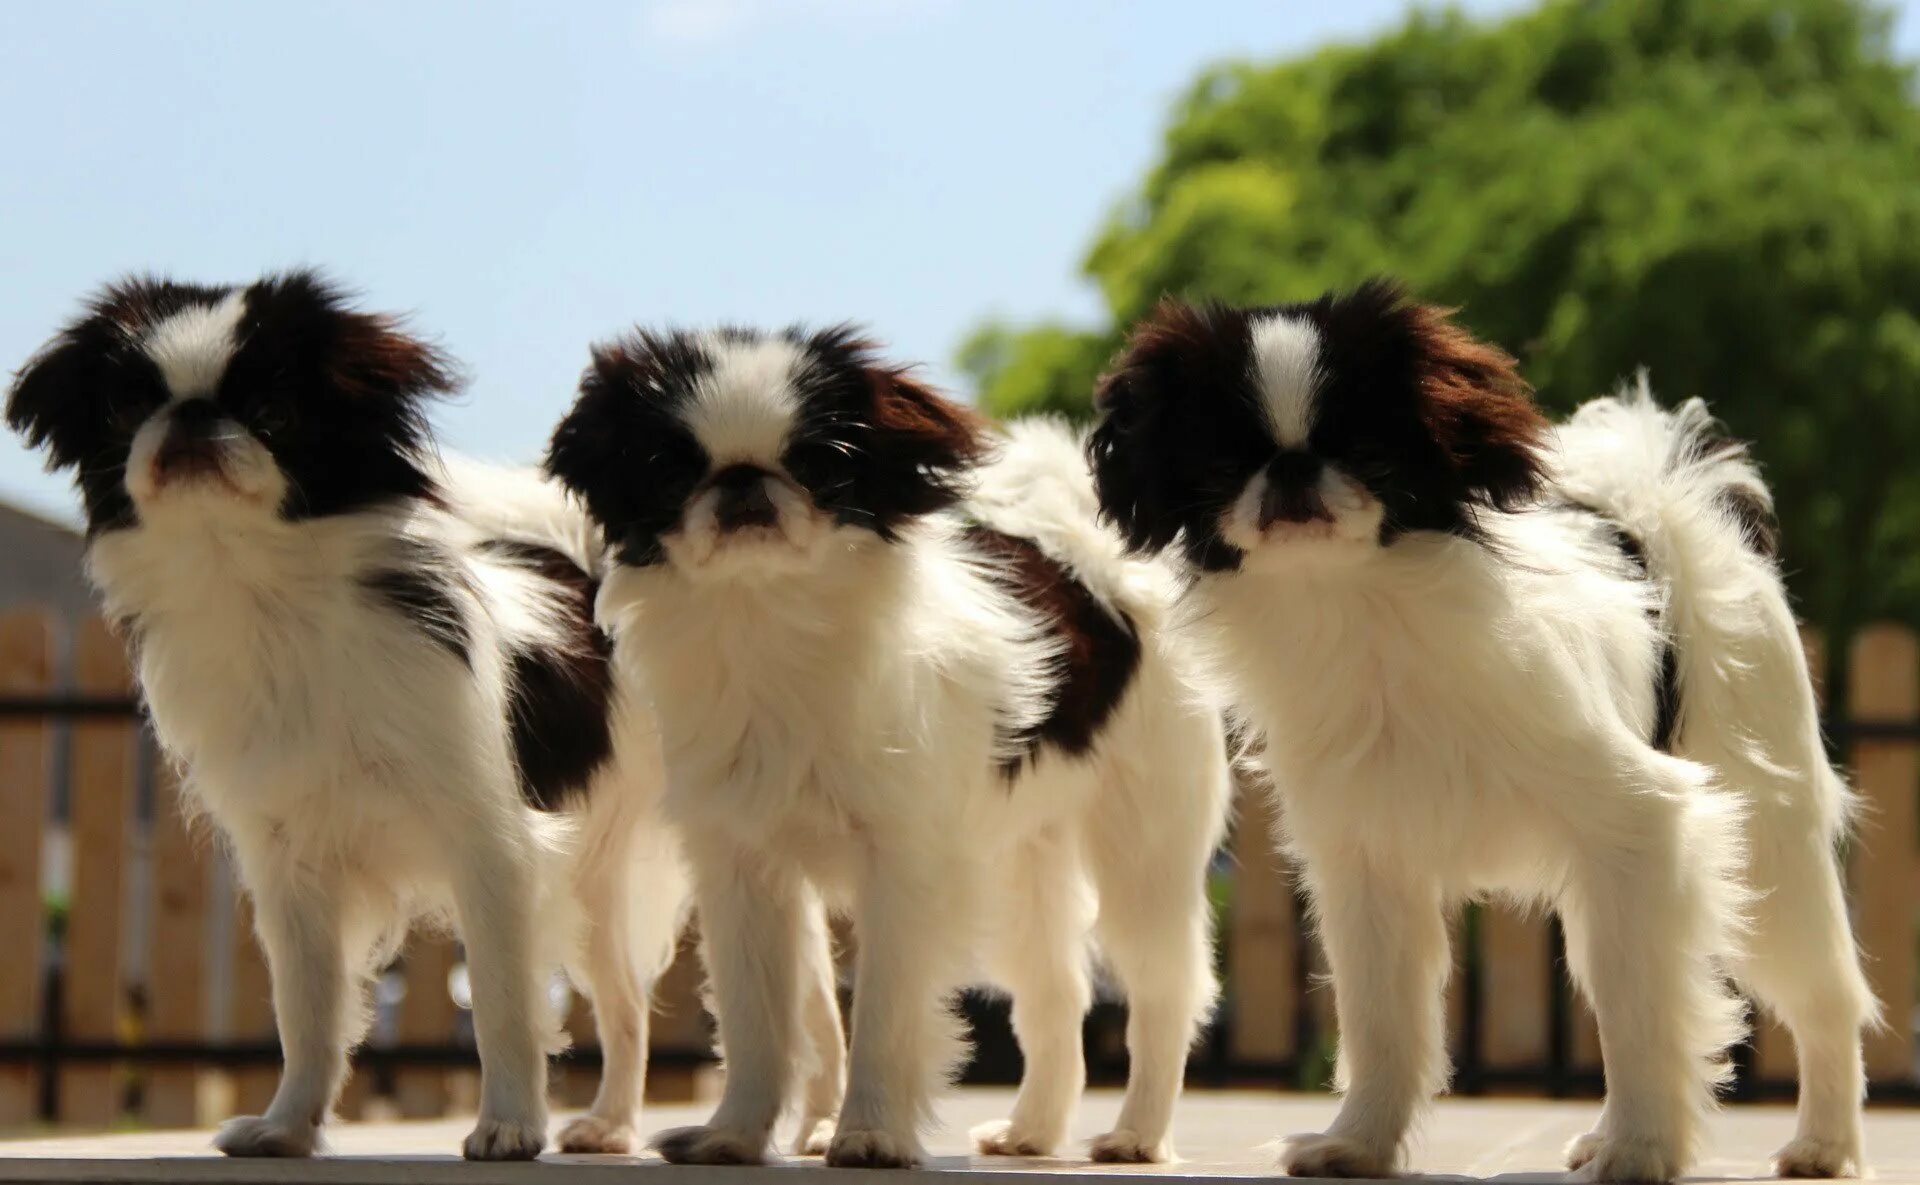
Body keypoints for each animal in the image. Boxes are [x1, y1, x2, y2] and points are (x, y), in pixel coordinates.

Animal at [1, 268, 698, 1152]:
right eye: (126, 413)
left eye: (274, 412)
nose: (191, 415)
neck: (268, 598)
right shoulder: (292, 869)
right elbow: (308, 1010)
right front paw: (286, 1125)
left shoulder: (492, 847)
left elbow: (501, 1002)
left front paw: (508, 1125)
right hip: (594, 882)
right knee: (626, 999)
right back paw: (610, 1123)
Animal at [541, 322, 1228, 1167]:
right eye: (668, 469)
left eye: (821, 463)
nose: (743, 481)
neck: (770, 620)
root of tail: (1090, 560)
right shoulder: (741, 866)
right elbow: (756, 1016)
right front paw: (733, 1133)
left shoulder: (903, 865)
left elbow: (884, 1014)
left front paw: (868, 1132)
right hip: (1019, 866)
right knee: (1056, 989)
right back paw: (1032, 1129)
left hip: (1143, 851)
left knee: (1165, 989)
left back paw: (1137, 1133)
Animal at [1090, 280, 1866, 1183]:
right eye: (1222, 463)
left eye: (1369, 450)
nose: (1290, 468)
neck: (1361, 610)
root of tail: (1657, 508)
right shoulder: (1369, 863)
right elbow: (1384, 1020)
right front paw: (1358, 1142)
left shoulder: (1641, 825)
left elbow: (1644, 1013)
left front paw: (1642, 1150)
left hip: (1768, 847)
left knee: (1823, 994)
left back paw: (1824, 1144)